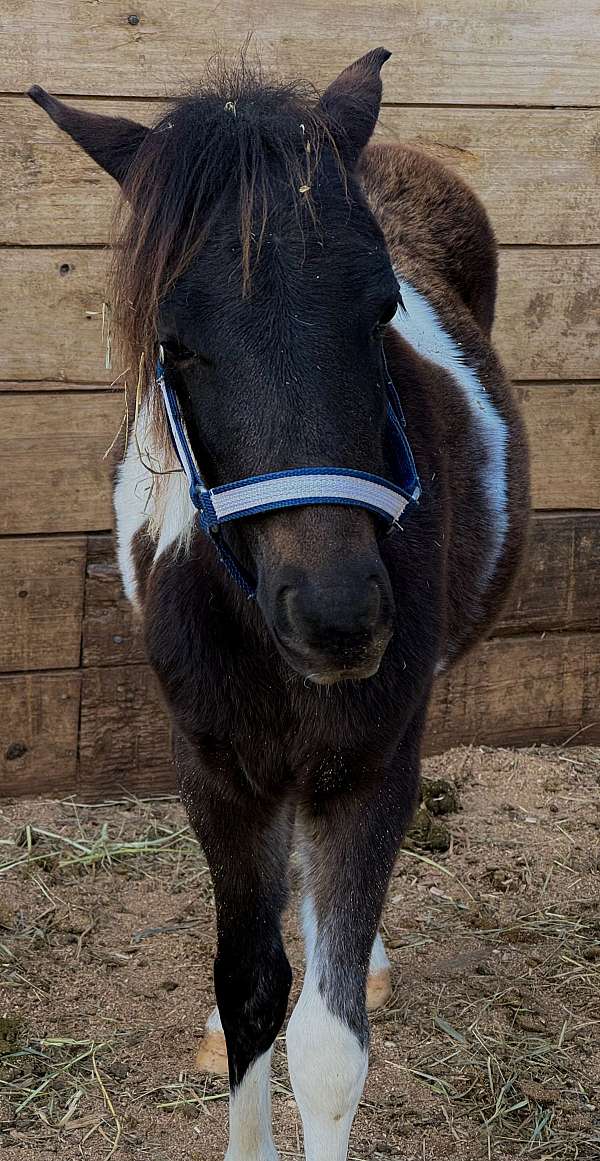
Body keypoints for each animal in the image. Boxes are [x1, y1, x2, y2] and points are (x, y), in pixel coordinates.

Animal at [30, 49, 529, 1161]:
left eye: (382, 312)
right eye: (175, 341)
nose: (337, 616)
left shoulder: (371, 761)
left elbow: (328, 1048)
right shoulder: (215, 768)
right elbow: (251, 988)